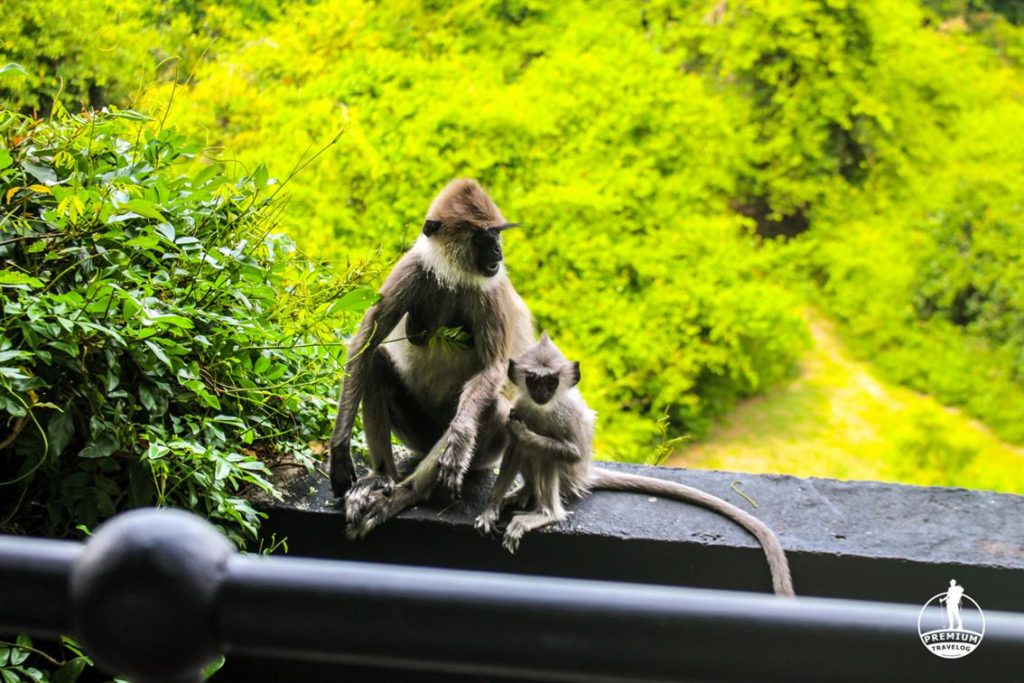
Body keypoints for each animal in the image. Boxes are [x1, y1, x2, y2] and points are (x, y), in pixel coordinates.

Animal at [329, 179, 536, 540]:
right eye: (484, 238)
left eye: (496, 236)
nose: (498, 253)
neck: (453, 275)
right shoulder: (412, 267)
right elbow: (366, 342)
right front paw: (340, 450)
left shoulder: (491, 289)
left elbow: (494, 367)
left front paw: (459, 439)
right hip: (417, 432)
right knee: (377, 364)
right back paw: (381, 477)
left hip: (482, 452)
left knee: (492, 405)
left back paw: (402, 495)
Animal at [475, 333, 794, 593]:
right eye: (534, 380)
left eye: (551, 381)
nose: (541, 393)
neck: (544, 408)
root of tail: (586, 475)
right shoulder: (521, 406)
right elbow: (512, 447)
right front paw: (491, 507)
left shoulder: (563, 415)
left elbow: (567, 450)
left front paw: (524, 433)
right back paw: (524, 492)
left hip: (571, 474)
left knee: (547, 455)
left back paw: (546, 513)